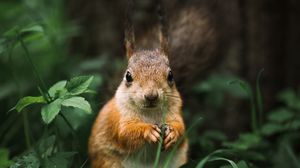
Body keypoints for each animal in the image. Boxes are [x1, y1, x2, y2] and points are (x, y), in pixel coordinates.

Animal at [88, 0, 188, 167]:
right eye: (128, 76)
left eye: (170, 75)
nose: (151, 96)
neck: (150, 113)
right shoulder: (119, 118)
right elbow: (125, 133)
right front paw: (148, 131)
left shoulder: (175, 112)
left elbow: (181, 127)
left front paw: (173, 133)